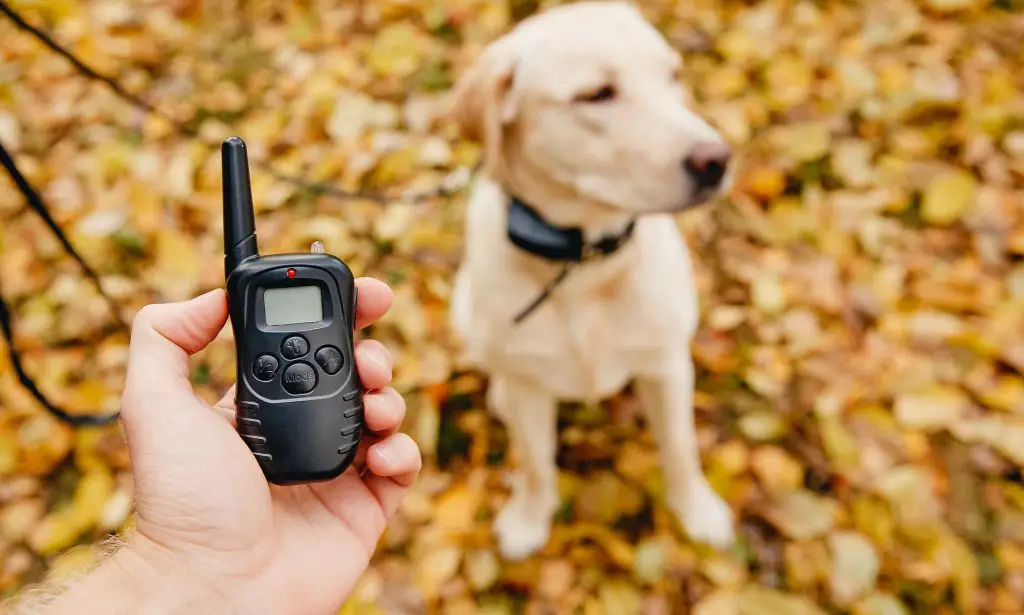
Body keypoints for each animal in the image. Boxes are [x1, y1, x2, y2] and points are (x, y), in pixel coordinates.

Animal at [448, 0, 737, 560]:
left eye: (673, 76)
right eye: (597, 94)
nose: (716, 160)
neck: (583, 266)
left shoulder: (668, 365)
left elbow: (681, 447)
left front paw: (697, 510)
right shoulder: (530, 385)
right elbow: (535, 464)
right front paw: (529, 519)